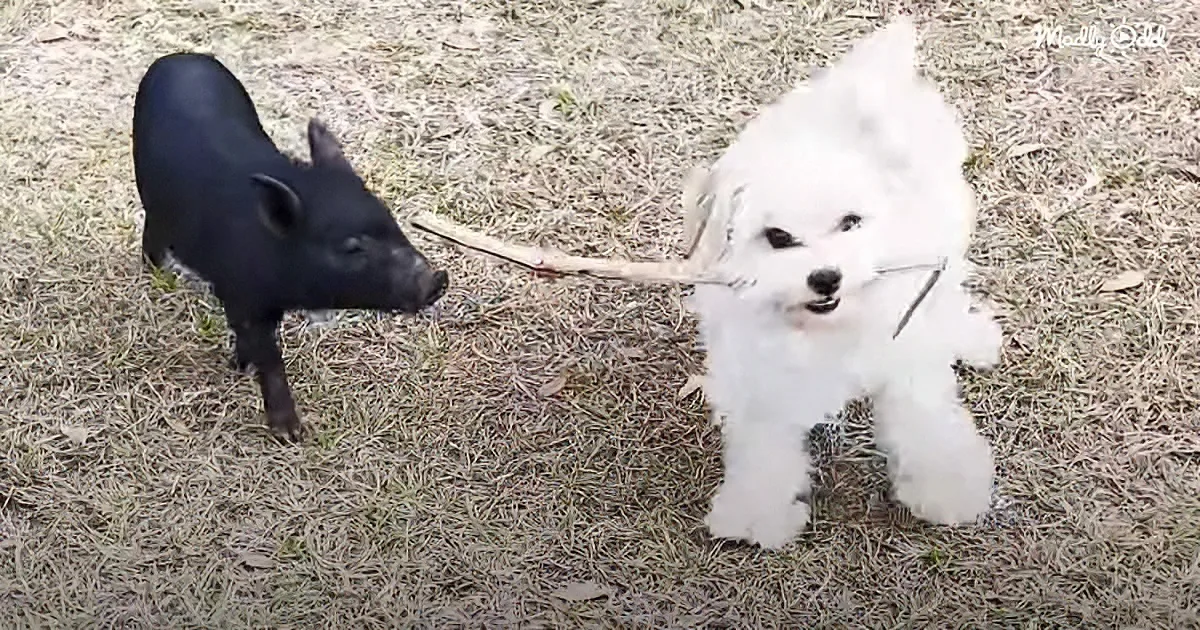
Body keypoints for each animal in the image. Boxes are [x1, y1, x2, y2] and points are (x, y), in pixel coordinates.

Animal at [131, 51, 448, 442]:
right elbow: (269, 357)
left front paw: (238, 366)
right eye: (351, 247)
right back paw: (158, 270)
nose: (438, 278)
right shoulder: (241, 293)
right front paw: (290, 434)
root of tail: (180, 56)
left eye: (393, 222)